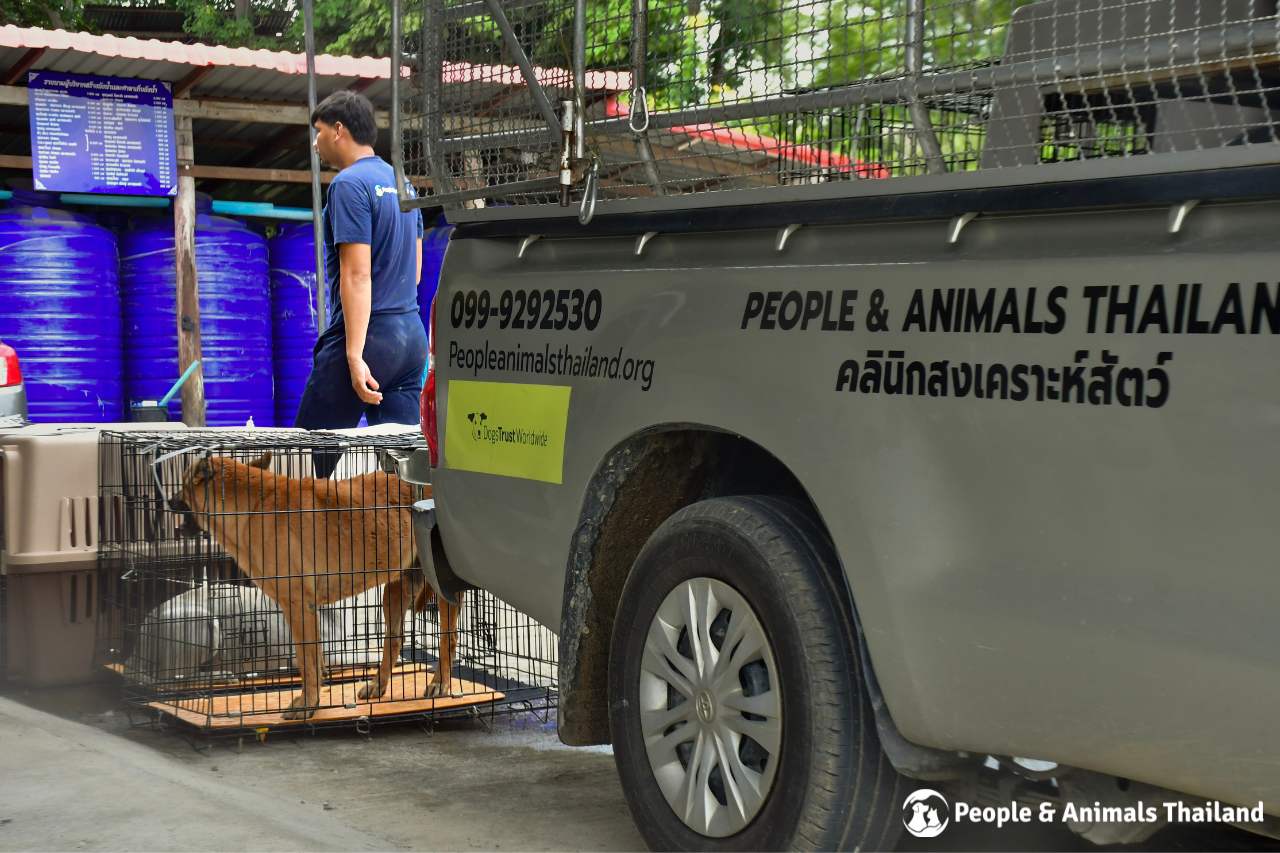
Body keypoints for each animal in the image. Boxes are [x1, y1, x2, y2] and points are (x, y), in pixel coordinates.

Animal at [175, 450, 460, 717]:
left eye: (184, 483)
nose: (168, 500)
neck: (254, 504)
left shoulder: (299, 608)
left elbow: (307, 662)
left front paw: (306, 705)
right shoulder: (307, 613)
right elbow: (314, 661)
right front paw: (314, 700)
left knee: (448, 636)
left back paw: (440, 683)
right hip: (395, 590)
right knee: (394, 639)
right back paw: (377, 685)